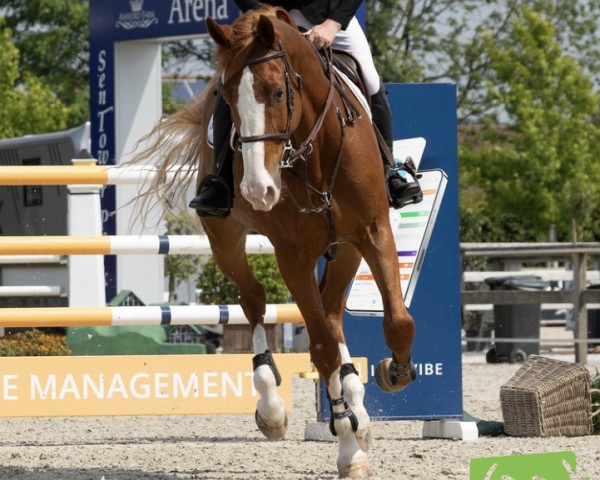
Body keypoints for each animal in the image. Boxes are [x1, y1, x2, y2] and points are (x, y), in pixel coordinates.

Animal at [132, 5, 412, 478]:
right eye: (228, 100)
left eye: (278, 93)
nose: (257, 190)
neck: (316, 151)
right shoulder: (292, 256)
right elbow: (320, 348)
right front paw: (348, 450)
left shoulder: (373, 234)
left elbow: (397, 321)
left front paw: (394, 372)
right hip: (225, 239)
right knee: (255, 302)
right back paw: (276, 408)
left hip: (346, 250)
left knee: (332, 313)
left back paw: (357, 405)